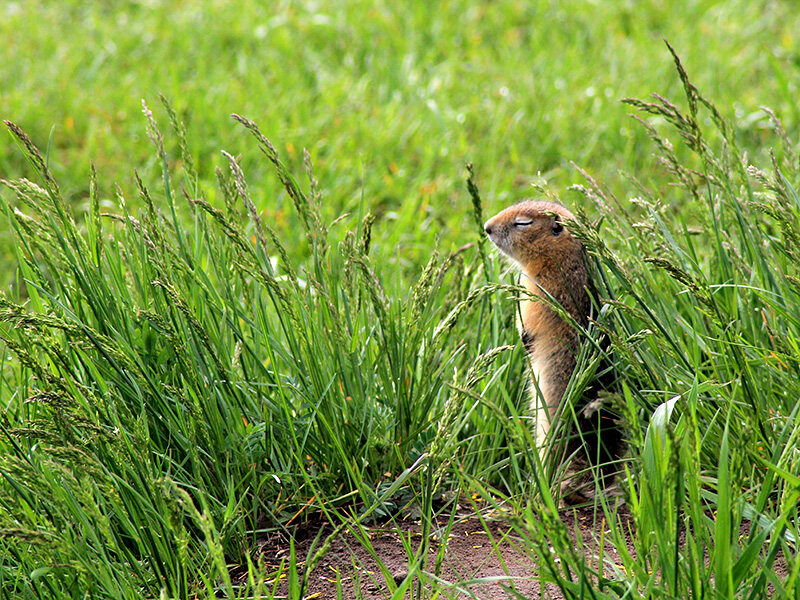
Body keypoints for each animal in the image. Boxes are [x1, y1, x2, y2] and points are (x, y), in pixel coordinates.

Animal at [482, 202, 620, 496]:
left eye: (523, 223)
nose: (487, 227)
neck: (556, 260)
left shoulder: (541, 292)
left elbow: (529, 316)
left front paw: (525, 337)